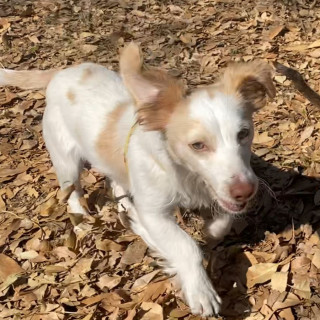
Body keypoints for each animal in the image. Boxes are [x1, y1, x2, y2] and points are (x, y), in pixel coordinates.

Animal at [0, 43, 276, 316]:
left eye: (244, 134)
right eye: (198, 145)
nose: (246, 191)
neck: (184, 173)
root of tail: (61, 73)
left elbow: (223, 222)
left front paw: (209, 230)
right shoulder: (154, 212)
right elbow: (185, 244)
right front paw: (201, 290)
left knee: (116, 183)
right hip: (65, 159)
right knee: (73, 193)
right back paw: (82, 220)